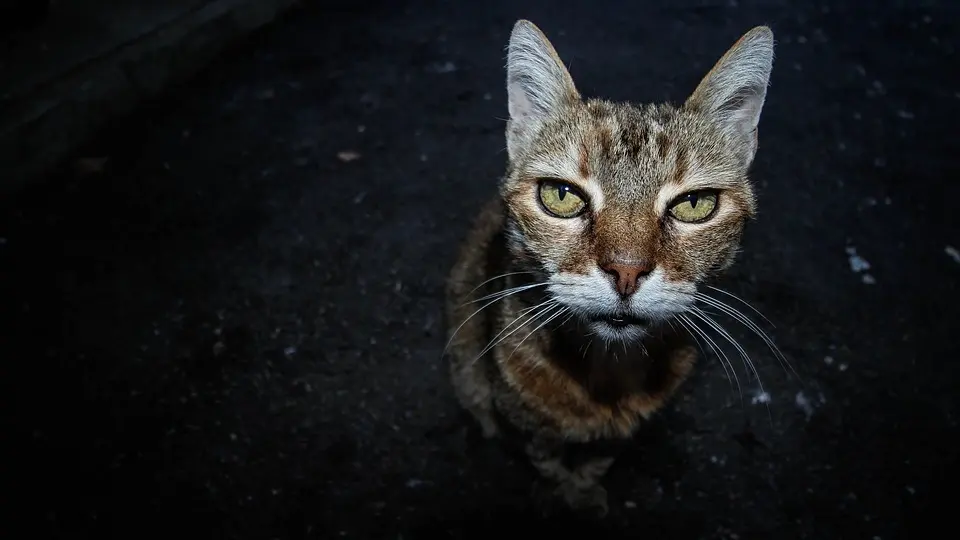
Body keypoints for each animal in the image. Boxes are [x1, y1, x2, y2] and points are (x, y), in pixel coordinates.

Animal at [446, 17, 776, 516]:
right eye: (561, 196)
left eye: (694, 205)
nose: (626, 272)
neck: (606, 373)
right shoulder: (525, 425)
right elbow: (545, 458)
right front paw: (562, 491)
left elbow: (600, 457)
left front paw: (583, 486)